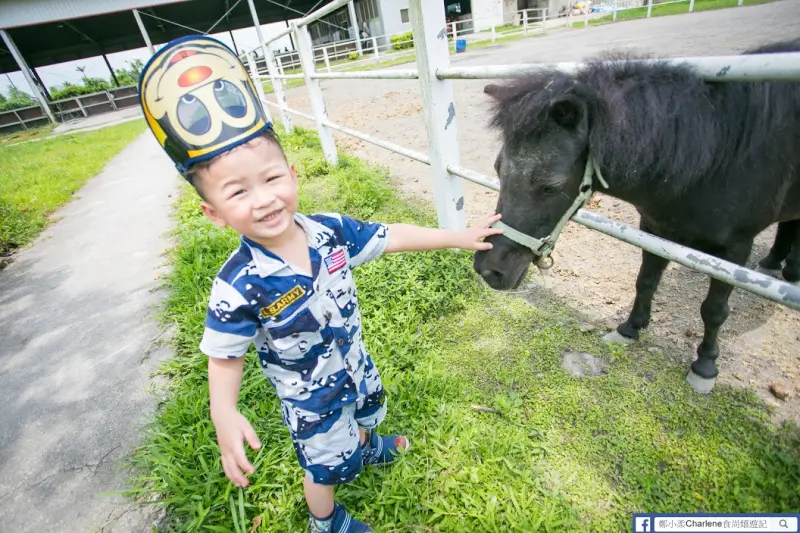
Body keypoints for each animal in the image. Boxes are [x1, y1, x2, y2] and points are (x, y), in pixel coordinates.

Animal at [473, 38, 800, 392]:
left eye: (549, 186)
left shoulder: (734, 249)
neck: (716, 156)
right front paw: (630, 328)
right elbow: (645, 281)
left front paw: (705, 366)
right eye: (498, 169)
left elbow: (714, 309)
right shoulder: (656, 229)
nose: (489, 270)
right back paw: (778, 263)